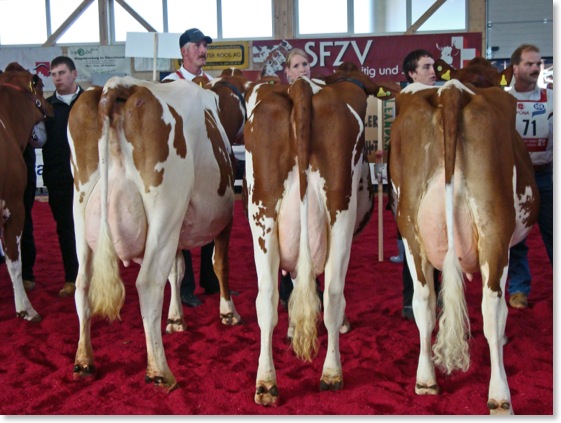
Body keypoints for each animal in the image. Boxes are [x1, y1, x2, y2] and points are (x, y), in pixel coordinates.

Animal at [69, 75, 244, 390]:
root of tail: (119, 85)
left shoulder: (178, 230)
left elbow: (177, 270)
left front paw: (175, 319)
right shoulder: (225, 216)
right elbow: (219, 264)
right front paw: (228, 313)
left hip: (80, 208)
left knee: (83, 284)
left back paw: (84, 360)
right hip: (165, 209)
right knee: (148, 283)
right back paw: (160, 372)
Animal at [245, 71, 398, 406]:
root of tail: (300, 86)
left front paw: (292, 328)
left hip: (262, 217)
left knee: (267, 298)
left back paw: (266, 383)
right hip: (339, 214)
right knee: (332, 294)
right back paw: (331, 373)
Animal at [390, 58, 540, 416]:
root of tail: (450, 91)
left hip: (410, 231)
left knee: (424, 301)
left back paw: (425, 380)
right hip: (494, 228)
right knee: (492, 309)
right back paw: (500, 396)